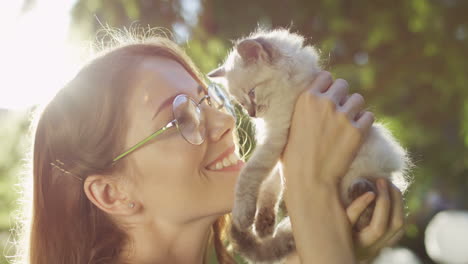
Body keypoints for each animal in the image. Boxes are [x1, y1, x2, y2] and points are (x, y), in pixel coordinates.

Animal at [208, 28, 410, 262]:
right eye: (241, 103)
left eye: (252, 93)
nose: (252, 114)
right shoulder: (279, 155)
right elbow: (270, 186)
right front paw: (263, 225)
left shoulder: (276, 137)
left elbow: (249, 175)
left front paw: (243, 215)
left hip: (364, 167)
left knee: (364, 210)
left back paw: (360, 191)